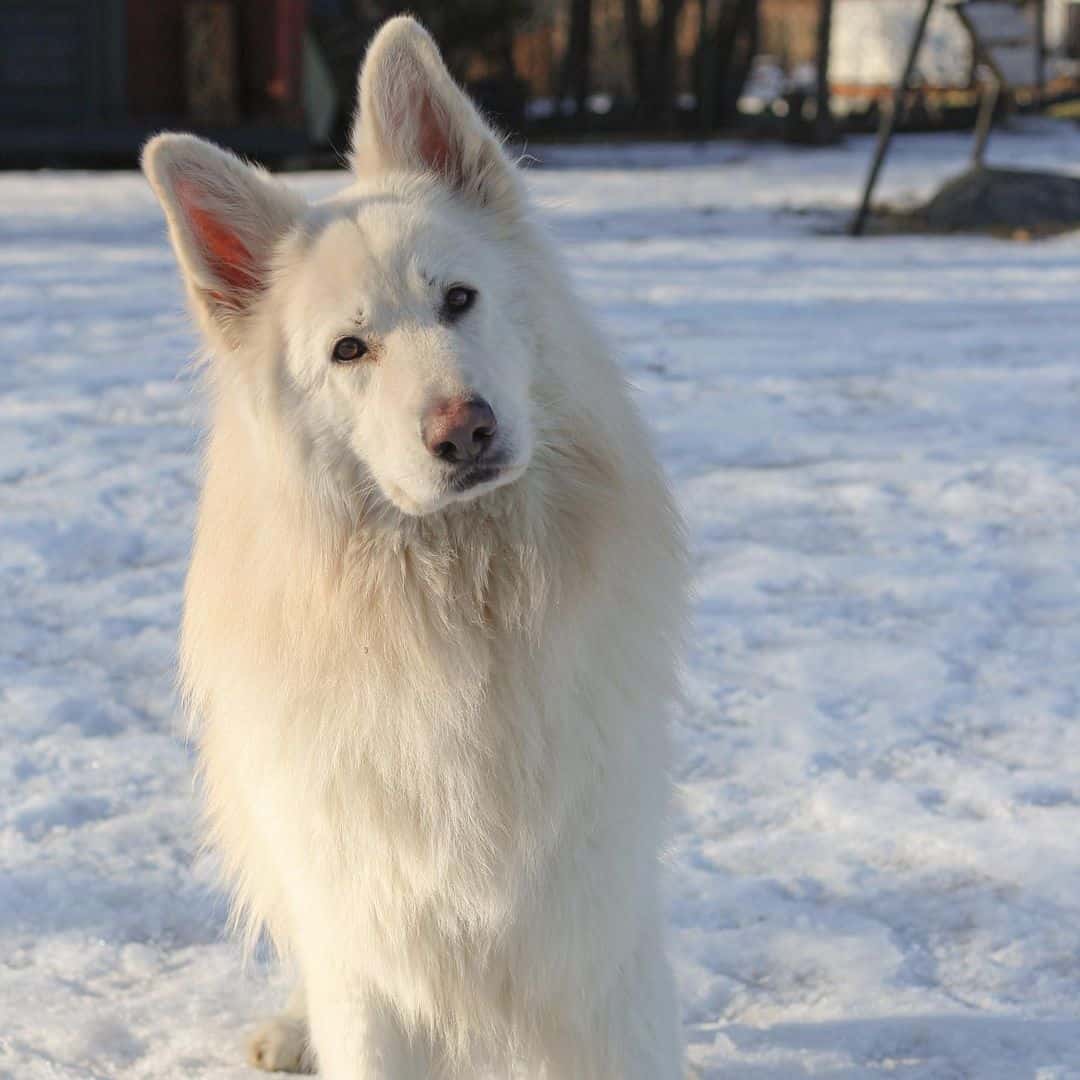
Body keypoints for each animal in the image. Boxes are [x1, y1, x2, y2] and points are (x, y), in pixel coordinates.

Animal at [141, 16, 682, 1080]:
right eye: (350, 350)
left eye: (459, 299)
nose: (463, 431)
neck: (464, 604)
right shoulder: (368, 933)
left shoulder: (590, 923)